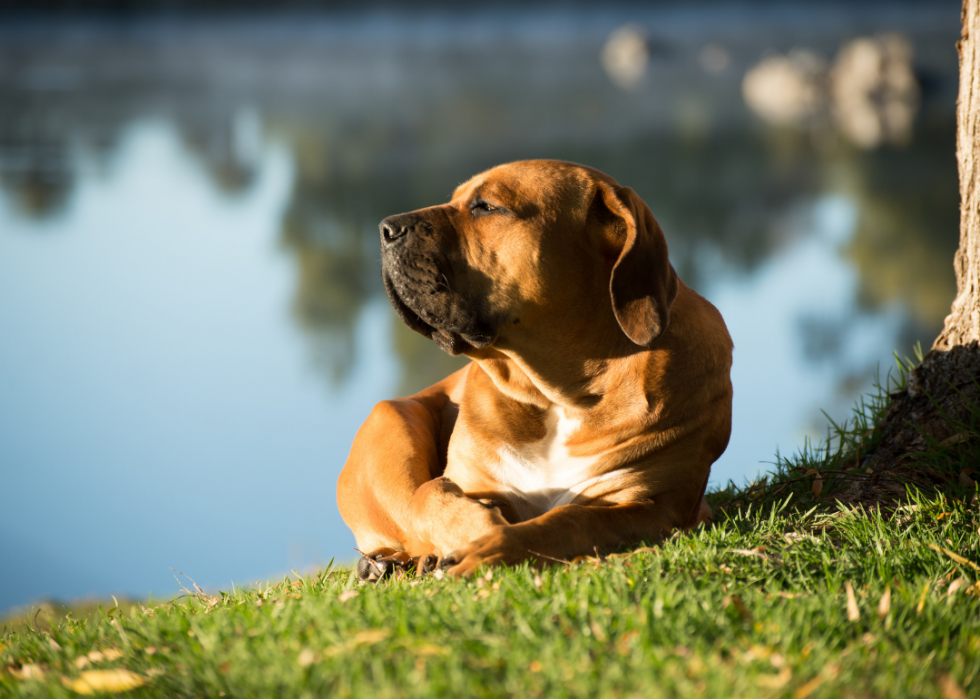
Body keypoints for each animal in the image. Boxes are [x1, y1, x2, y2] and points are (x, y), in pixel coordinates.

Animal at [336, 160, 728, 580]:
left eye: (486, 207)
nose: (386, 228)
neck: (557, 394)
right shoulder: (467, 480)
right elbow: (430, 495)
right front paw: (475, 531)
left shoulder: (654, 504)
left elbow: (568, 520)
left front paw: (492, 545)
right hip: (392, 420)